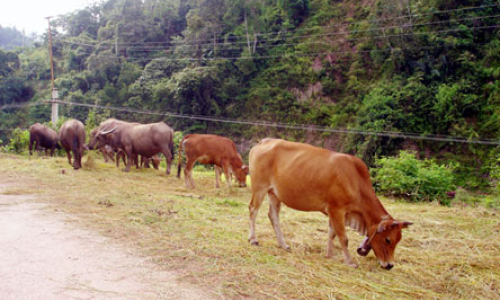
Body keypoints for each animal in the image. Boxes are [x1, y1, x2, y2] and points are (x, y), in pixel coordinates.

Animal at [248, 138, 412, 270]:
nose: (390, 265)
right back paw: (253, 239)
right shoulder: (337, 210)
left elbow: (332, 234)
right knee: (253, 210)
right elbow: (343, 238)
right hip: (259, 187)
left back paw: (283, 244)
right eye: (388, 239)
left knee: (273, 216)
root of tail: (263, 141)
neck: (356, 181)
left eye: (398, 240)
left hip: (274, 194)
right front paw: (350, 262)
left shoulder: (335, 212)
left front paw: (330, 255)